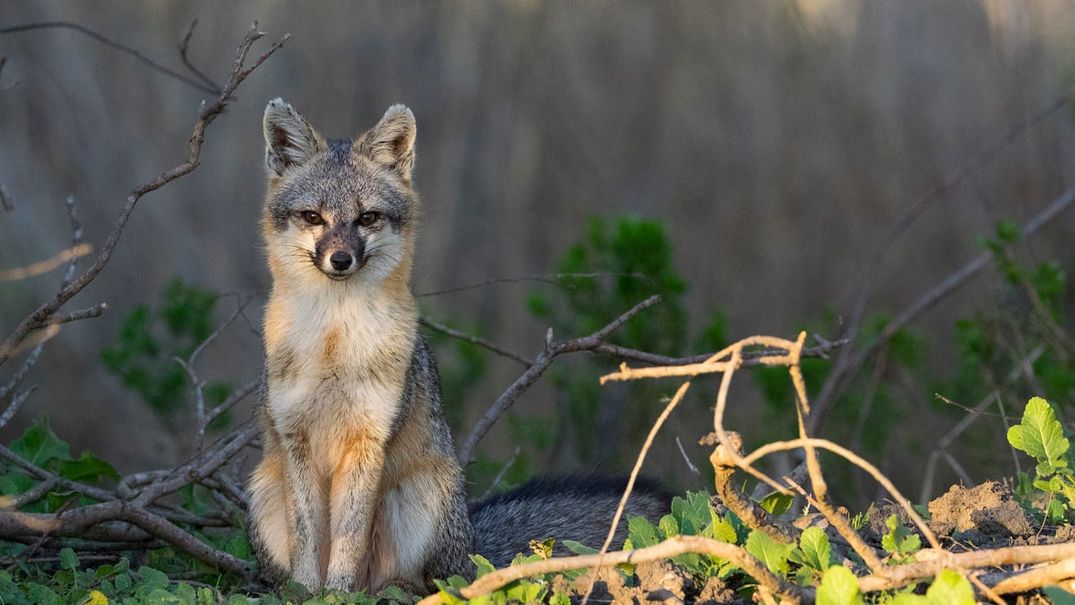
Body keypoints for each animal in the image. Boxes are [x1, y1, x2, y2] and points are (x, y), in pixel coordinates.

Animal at [247, 98, 669, 595]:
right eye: (313, 217)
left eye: (367, 218)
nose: (340, 259)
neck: (334, 343)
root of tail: (470, 543)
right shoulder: (295, 439)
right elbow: (308, 542)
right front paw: (307, 593)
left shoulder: (369, 438)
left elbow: (348, 541)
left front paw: (337, 596)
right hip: (264, 492)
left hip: (417, 498)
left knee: (425, 582)